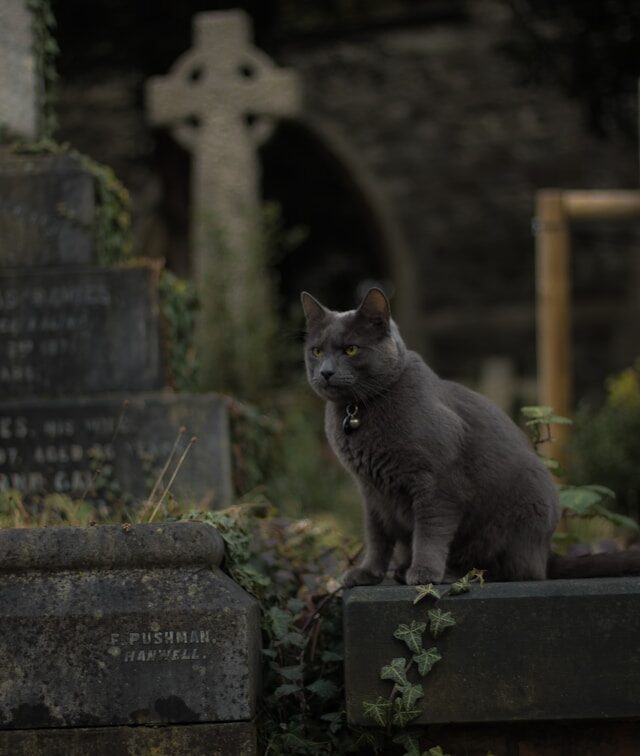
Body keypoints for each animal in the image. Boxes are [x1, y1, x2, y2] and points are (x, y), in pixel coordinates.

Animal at [302, 286, 640, 588]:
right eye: (317, 351)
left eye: (351, 349)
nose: (326, 372)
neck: (357, 409)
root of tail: (546, 553)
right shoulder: (371, 492)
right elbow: (377, 536)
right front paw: (367, 574)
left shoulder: (437, 484)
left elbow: (429, 532)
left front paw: (423, 573)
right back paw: (400, 570)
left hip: (517, 517)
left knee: (514, 571)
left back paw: (448, 573)